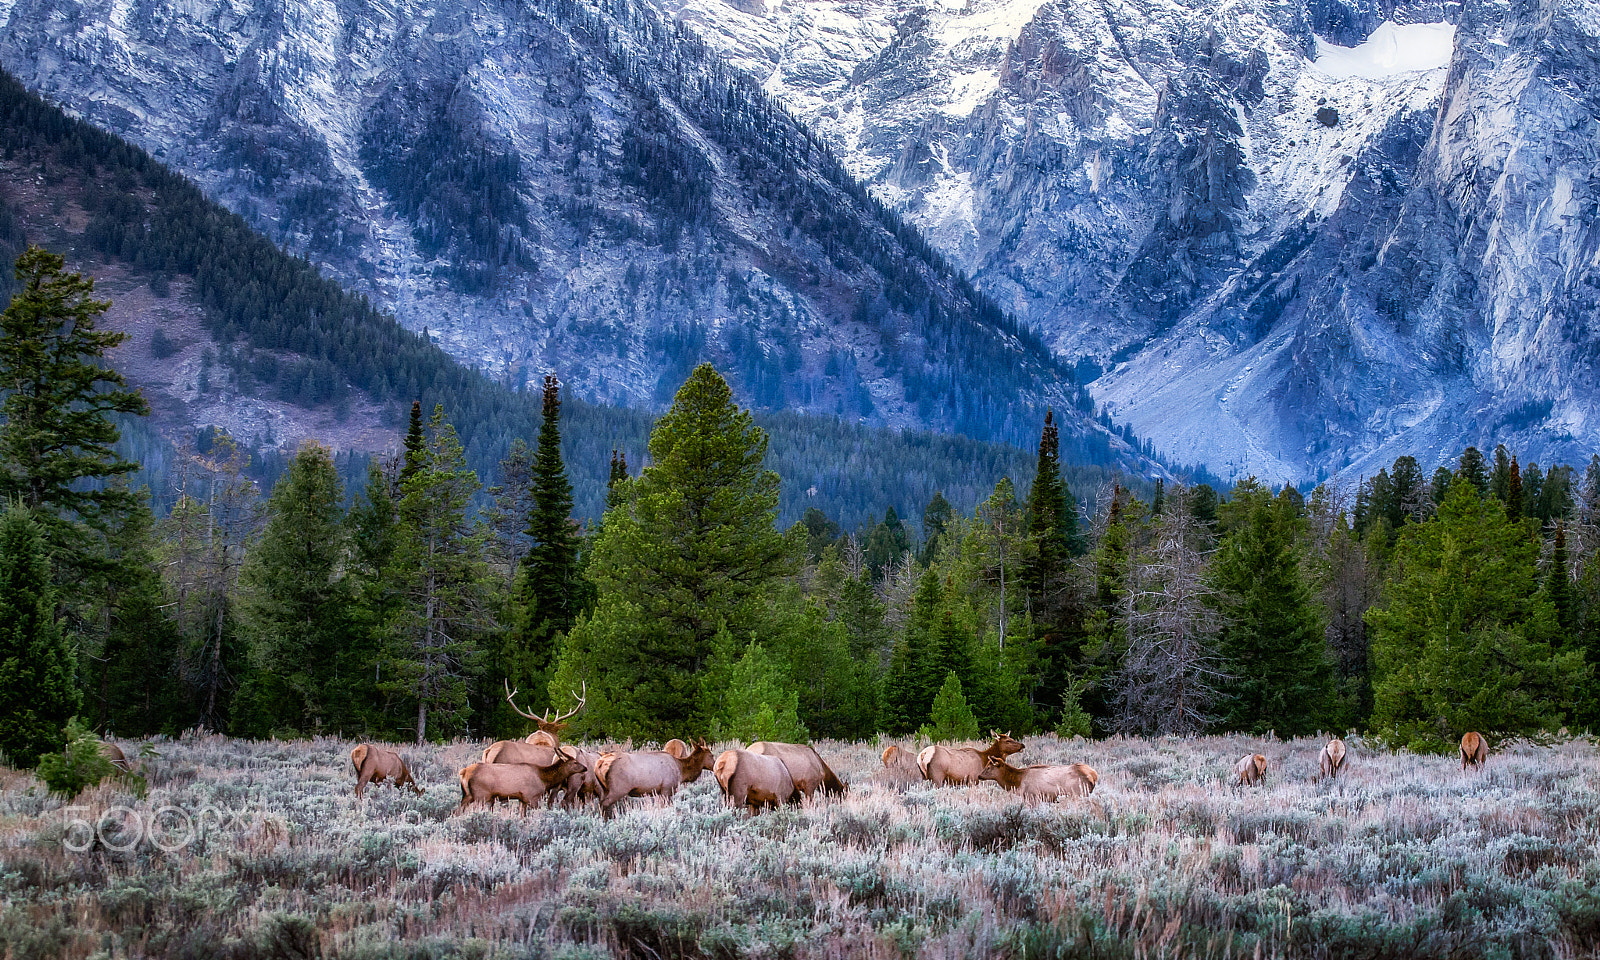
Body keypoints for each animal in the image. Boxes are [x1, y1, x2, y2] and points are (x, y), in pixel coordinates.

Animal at [456, 754, 585, 815]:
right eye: (575, 762)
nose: (585, 768)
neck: (544, 779)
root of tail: (464, 772)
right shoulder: (532, 796)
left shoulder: (523, 799)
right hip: (481, 796)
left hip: (468, 795)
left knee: (456, 811)